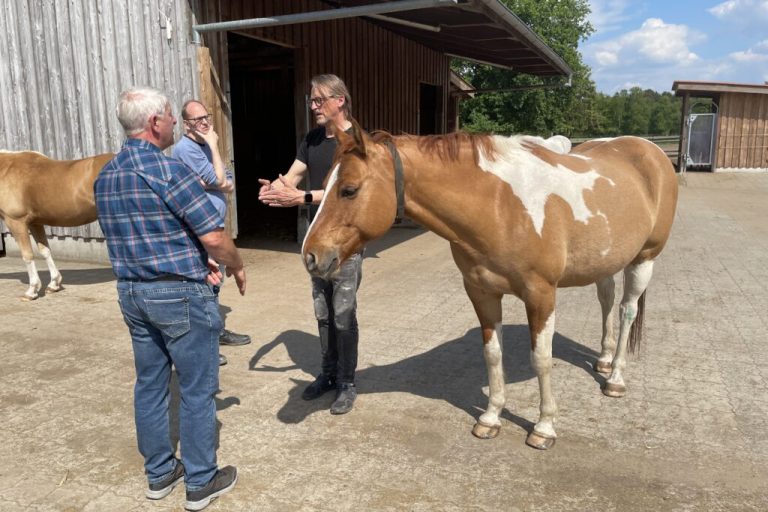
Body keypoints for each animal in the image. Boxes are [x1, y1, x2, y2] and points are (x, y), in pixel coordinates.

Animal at [0, 151, 113, 300]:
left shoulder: (16, 221)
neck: (5, 170)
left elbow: (27, 255)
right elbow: (45, 251)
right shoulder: (35, 223)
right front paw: (54, 284)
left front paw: (32, 291)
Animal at [302, 120, 678, 450]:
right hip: (606, 260)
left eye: (349, 190)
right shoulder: (481, 292)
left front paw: (544, 427)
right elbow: (493, 354)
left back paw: (615, 378)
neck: (499, 205)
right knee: (607, 299)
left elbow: (541, 358)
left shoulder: (541, 295)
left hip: (644, 258)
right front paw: (491, 418)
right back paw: (602, 359)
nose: (311, 256)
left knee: (627, 310)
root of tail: (651, 151)